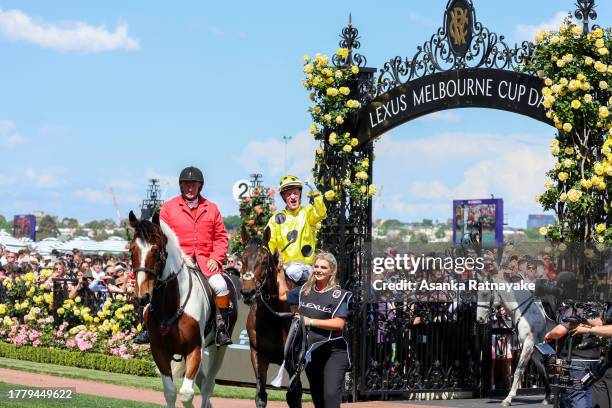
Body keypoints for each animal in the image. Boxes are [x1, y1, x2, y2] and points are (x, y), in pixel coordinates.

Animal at [129, 210, 237, 408]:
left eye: (156, 250)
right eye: (132, 251)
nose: (142, 297)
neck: (171, 305)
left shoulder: (194, 349)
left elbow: (187, 393)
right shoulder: (159, 351)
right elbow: (171, 392)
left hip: (218, 350)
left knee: (208, 385)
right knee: (202, 381)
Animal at [238, 228, 302, 406]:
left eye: (264, 261)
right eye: (242, 259)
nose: (248, 292)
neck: (273, 316)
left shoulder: (292, 360)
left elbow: (294, 396)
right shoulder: (258, 354)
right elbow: (261, 395)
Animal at [476, 274, 556, 404]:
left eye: (485, 294)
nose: (480, 319)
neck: (523, 310)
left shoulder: (529, 344)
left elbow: (519, 369)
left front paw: (509, 398)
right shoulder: (533, 347)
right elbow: (542, 369)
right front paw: (547, 396)